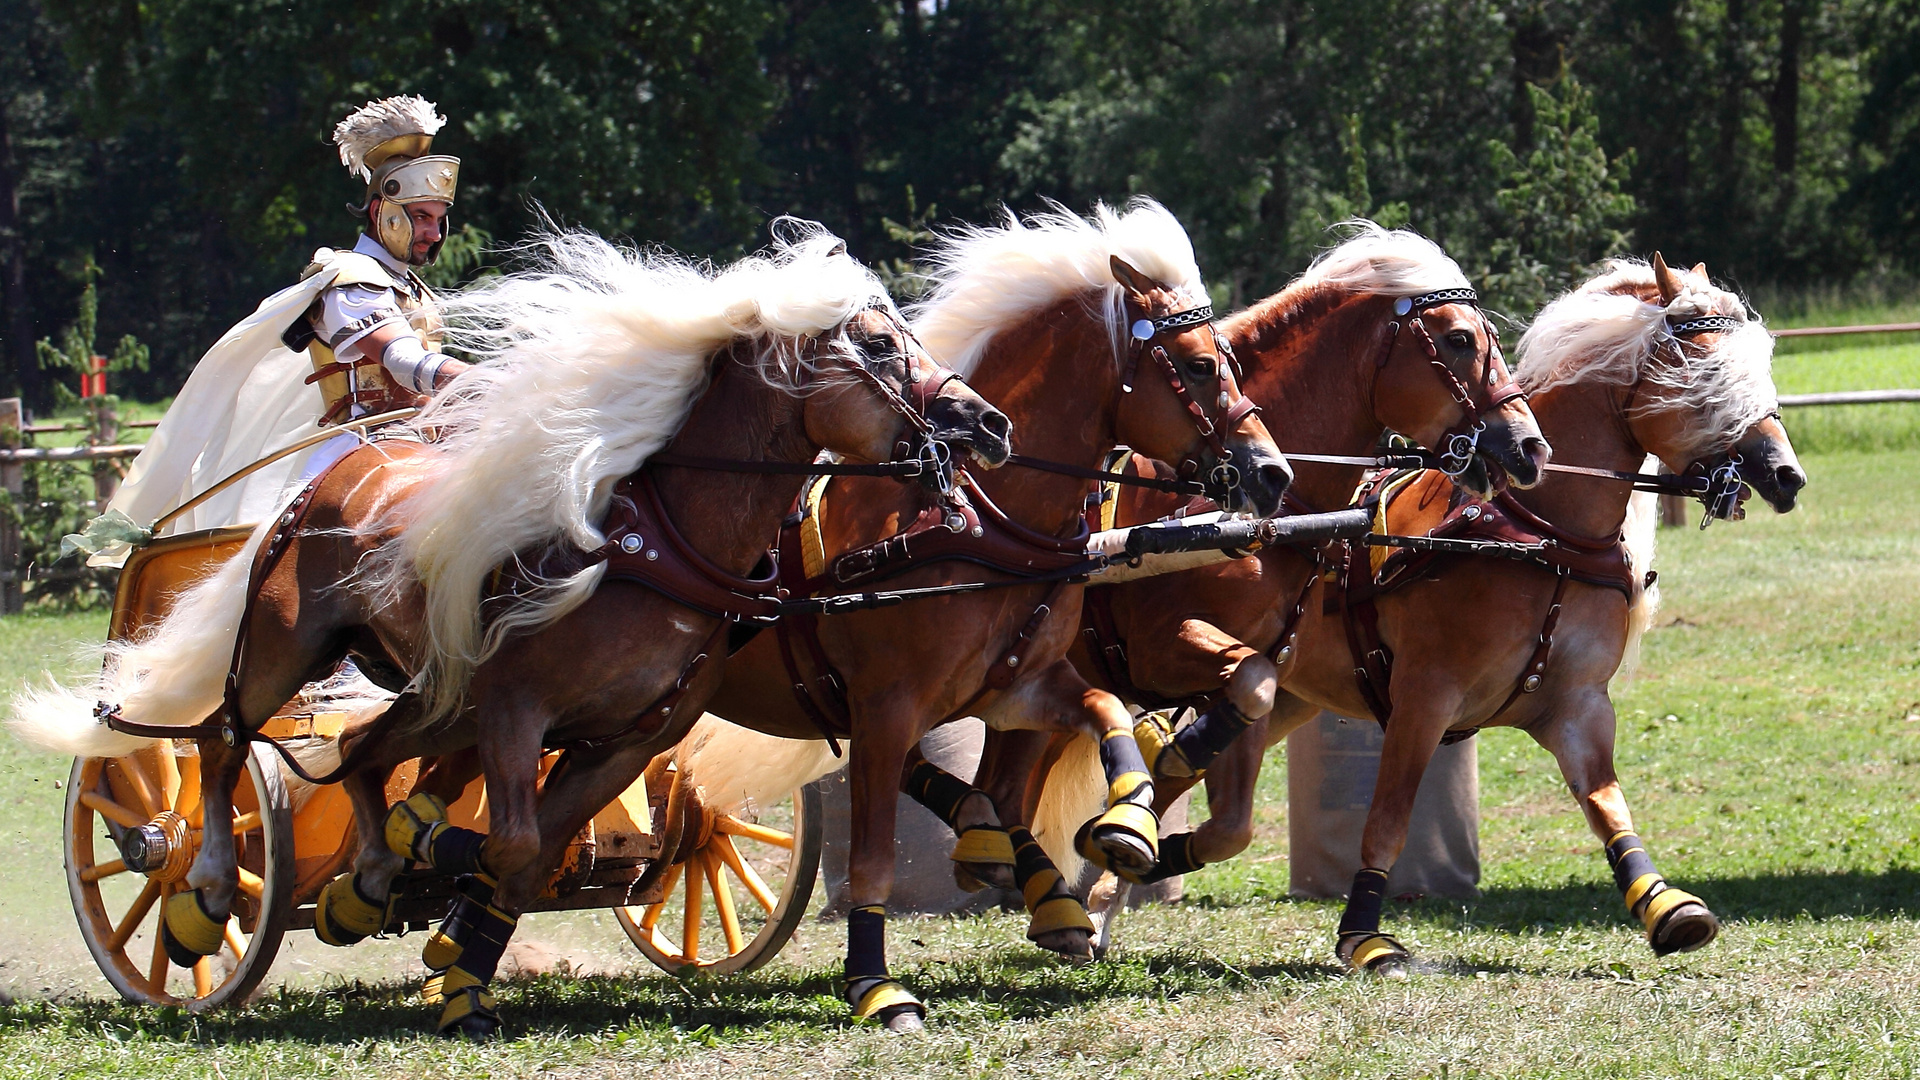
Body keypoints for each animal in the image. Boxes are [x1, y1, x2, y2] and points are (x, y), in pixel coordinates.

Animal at [15, 228, 1013, 1037]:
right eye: (877, 345)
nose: (986, 423)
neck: (660, 542)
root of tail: (315, 493)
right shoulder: (513, 710)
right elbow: (516, 847)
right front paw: (458, 967)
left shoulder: (626, 739)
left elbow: (532, 860)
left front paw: (458, 961)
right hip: (285, 653)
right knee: (224, 746)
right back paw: (209, 892)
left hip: (428, 691)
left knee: (365, 757)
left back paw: (366, 881)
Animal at [675, 199, 1290, 1022]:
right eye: (1196, 363)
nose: (1273, 474)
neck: (975, 520)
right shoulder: (886, 706)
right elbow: (875, 855)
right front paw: (874, 984)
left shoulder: (1023, 684)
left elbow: (1101, 717)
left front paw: (1124, 822)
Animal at [1067, 249, 1797, 968]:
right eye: (1708, 370)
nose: (1787, 474)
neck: (1541, 533)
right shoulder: (1425, 696)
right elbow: (1387, 820)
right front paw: (1365, 935)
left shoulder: (1579, 706)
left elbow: (1607, 805)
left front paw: (1663, 904)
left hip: (1290, 697)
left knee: (1211, 806)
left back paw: (1111, 878)